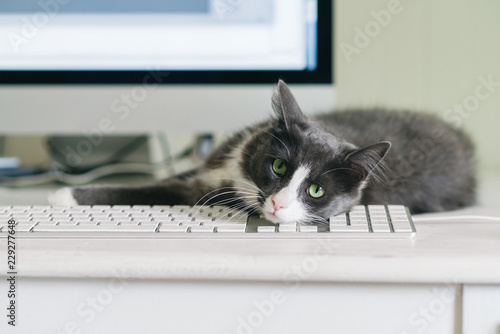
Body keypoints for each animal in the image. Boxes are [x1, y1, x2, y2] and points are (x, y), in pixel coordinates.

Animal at [49, 79, 476, 223]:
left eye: (316, 190)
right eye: (278, 167)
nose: (278, 203)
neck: (238, 174)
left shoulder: (206, 192)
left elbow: (155, 190)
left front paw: (63, 196)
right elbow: (168, 179)